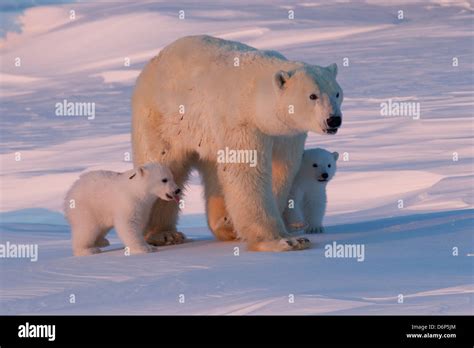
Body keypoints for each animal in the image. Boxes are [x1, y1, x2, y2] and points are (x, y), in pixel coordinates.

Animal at [131, 35, 342, 251]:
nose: (333, 120)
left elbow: (281, 171)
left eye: (337, 93)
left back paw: (225, 225)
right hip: (163, 120)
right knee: (165, 163)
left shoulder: (287, 134)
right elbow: (248, 172)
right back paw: (164, 234)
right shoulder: (240, 123)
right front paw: (284, 240)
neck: (256, 99)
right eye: (312, 96)